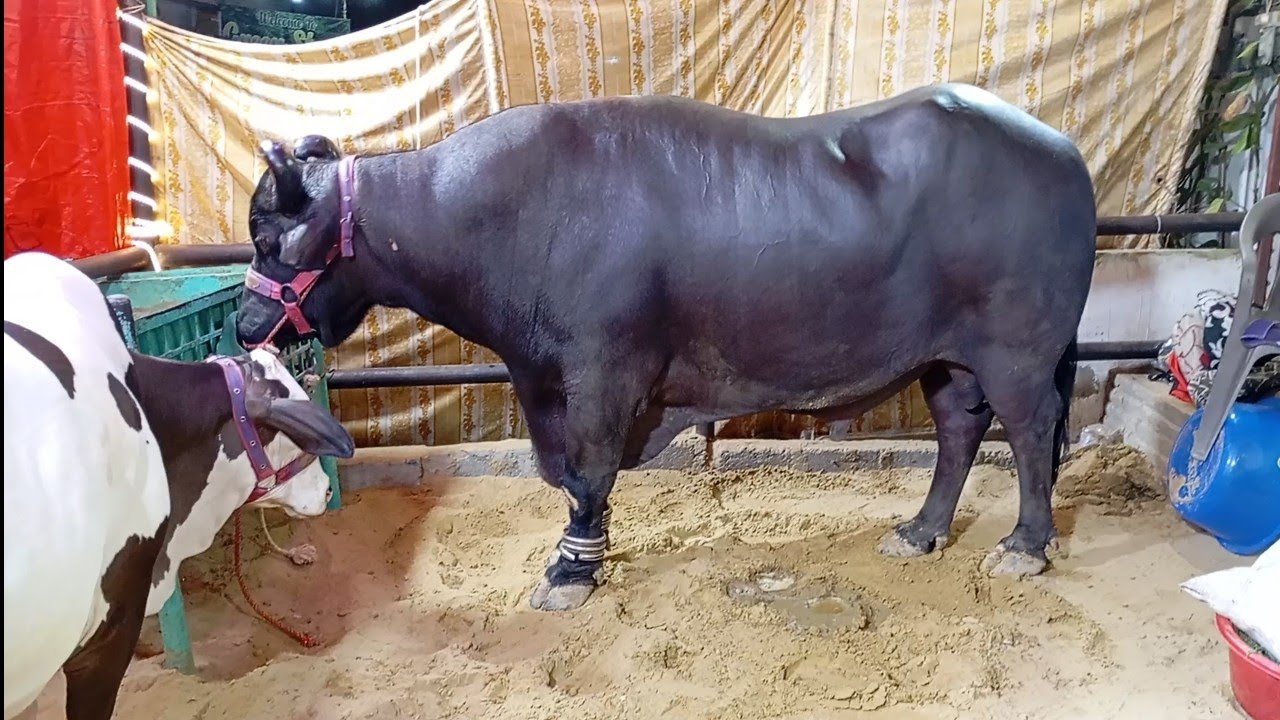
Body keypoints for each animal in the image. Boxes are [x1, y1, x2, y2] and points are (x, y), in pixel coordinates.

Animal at [235, 83, 1097, 612]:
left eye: (269, 235)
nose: (243, 326)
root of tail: (1059, 147)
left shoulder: (598, 374)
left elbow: (587, 474)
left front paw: (570, 569)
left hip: (1019, 350)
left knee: (1029, 432)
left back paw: (1024, 545)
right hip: (946, 358)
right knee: (958, 430)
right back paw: (920, 532)